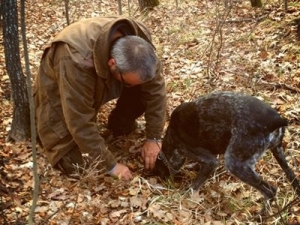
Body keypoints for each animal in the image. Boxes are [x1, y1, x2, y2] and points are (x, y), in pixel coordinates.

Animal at [154, 91, 298, 213]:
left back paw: (262, 216)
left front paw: (182, 197)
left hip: (235, 164)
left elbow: (194, 185)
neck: (171, 137)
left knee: (270, 191)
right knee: (293, 180)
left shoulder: (207, 159)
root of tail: (277, 121)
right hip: (279, 153)